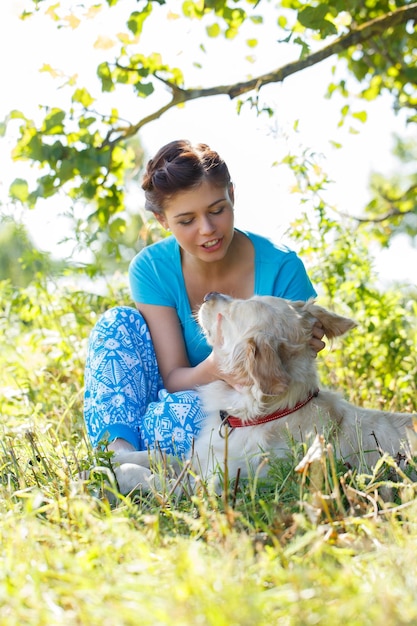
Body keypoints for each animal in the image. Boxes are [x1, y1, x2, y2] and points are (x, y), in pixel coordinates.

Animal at [107, 292, 412, 492]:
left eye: (230, 314)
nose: (208, 295)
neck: (254, 415)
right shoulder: (196, 459)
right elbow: (155, 456)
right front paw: (110, 457)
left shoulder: (211, 487)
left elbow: (149, 477)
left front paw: (114, 474)